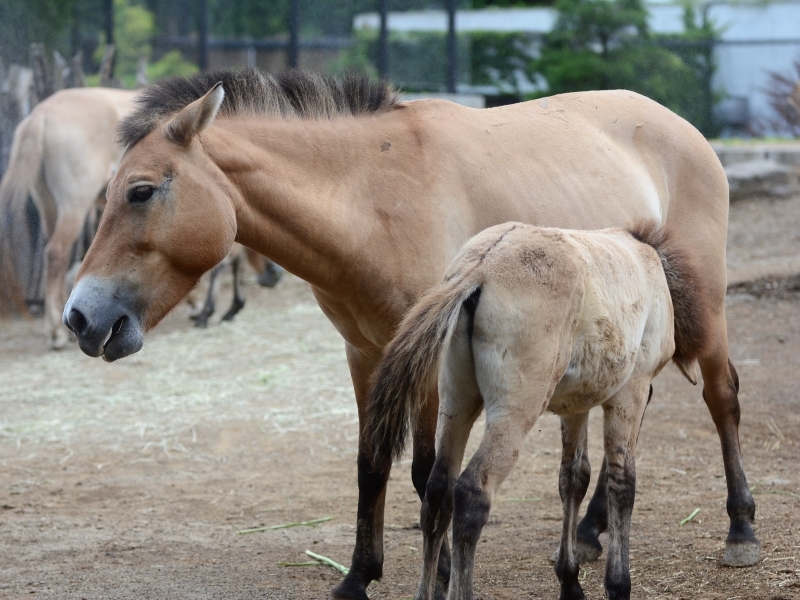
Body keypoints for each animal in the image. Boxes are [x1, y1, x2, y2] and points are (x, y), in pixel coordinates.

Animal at [370, 223, 700, 596]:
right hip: (515, 413)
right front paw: (618, 585)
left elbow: (574, 477)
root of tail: (480, 268)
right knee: (471, 494)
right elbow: (622, 484)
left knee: (438, 492)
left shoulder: (576, 405)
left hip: (455, 404)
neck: (648, 262)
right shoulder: (632, 391)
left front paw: (570, 582)